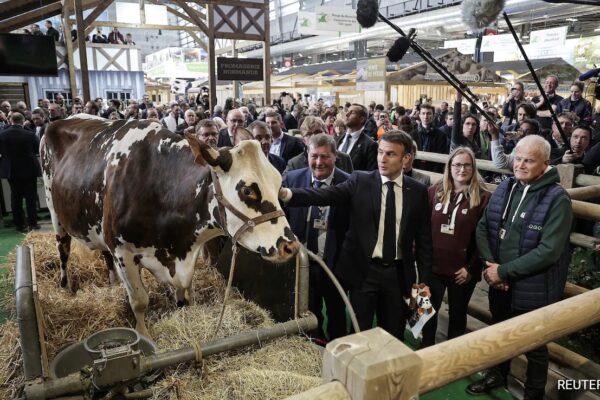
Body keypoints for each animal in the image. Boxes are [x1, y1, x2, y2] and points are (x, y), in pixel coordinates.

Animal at [39, 114, 298, 336]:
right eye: (247, 190)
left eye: (278, 182)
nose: (291, 246)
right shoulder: (123, 252)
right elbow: (139, 302)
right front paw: (144, 337)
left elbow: (184, 294)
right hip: (55, 212)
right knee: (63, 249)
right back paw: (65, 288)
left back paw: (112, 283)